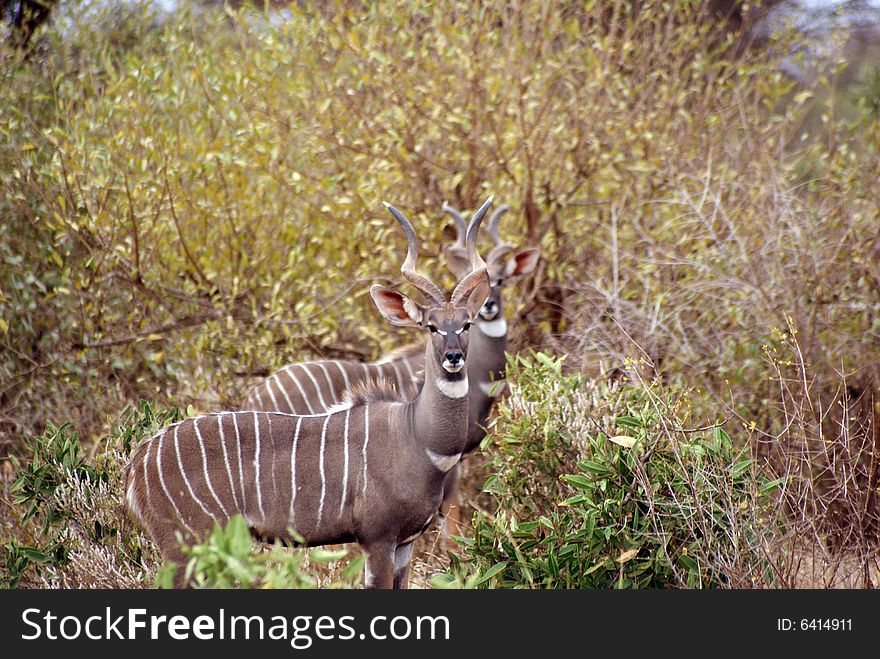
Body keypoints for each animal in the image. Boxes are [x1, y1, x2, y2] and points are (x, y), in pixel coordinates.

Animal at [124, 199, 496, 592]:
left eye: (466, 323)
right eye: (431, 326)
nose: (453, 357)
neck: (419, 439)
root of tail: (137, 465)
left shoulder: (405, 542)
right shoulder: (377, 537)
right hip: (188, 545)